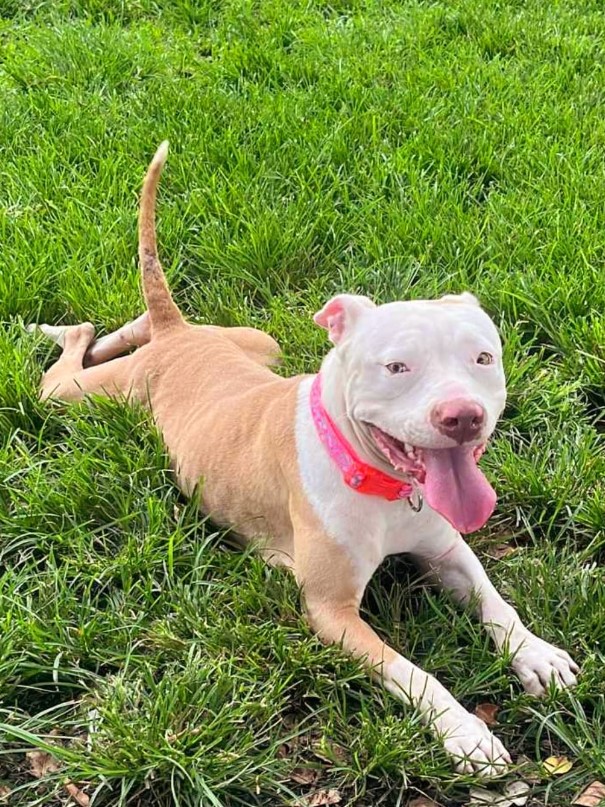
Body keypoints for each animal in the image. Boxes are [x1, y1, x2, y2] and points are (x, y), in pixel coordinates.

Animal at [30, 144, 580, 776]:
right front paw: (464, 731)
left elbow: (497, 602)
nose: (462, 416)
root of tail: (177, 333)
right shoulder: (332, 612)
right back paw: (65, 331)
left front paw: (537, 655)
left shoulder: (447, 550)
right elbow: (414, 673)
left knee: (131, 327)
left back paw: (117, 329)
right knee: (66, 362)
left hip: (257, 341)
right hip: (82, 397)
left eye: (483, 357)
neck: (379, 481)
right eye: (396, 367)